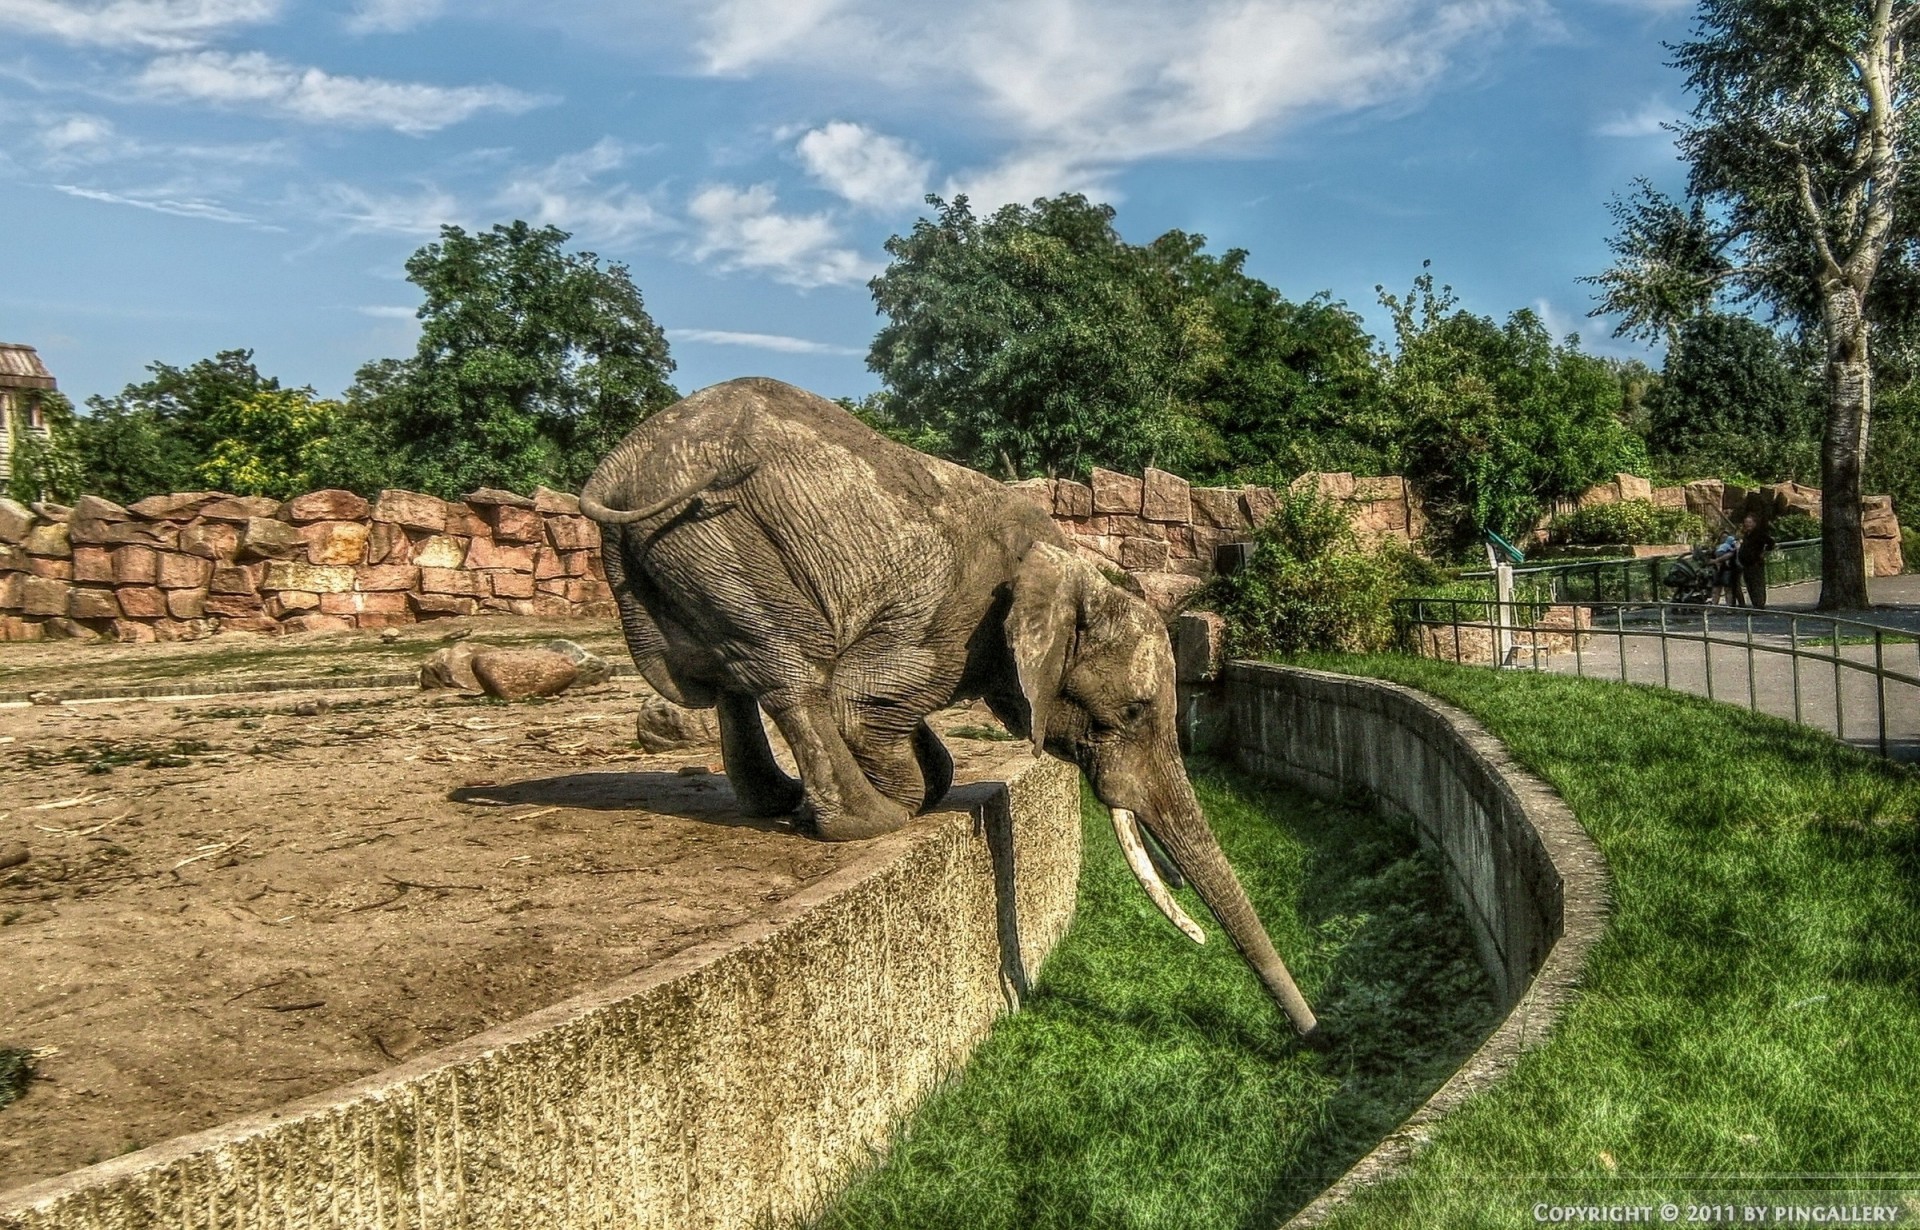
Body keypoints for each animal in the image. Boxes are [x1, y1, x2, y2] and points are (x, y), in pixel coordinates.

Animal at [579, 377, 1318, 1040]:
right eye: (1135, 712)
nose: (1311, 1035)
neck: (1068, 566)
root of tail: (613, 475)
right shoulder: (955, 618)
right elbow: (861, 698)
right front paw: (903, 792)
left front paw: (922, 777)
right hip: (716, 536)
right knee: (789, 669)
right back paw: (865, 818)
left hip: (677, 555)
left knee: (726, 672)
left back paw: (782, 803)